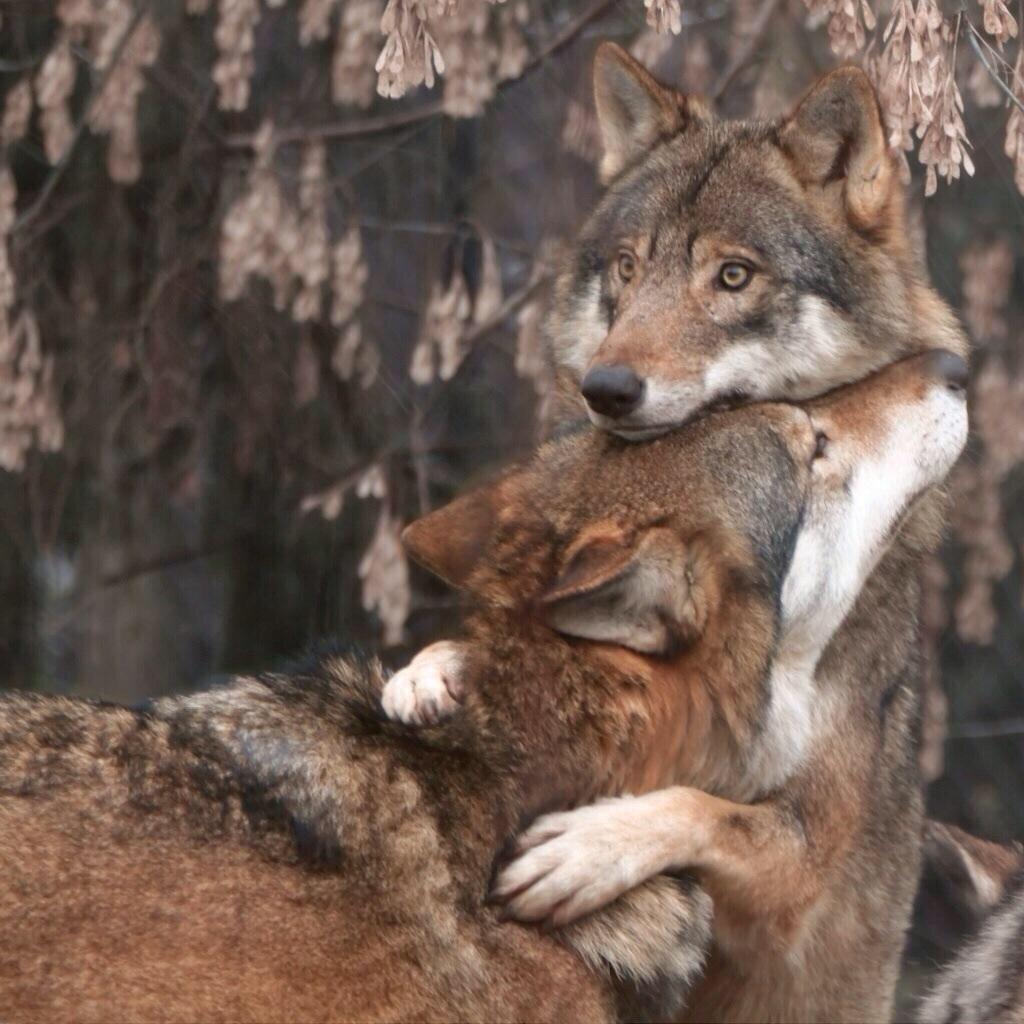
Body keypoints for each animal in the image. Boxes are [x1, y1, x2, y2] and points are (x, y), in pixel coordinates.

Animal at [385, 42, 971, 1022]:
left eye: (733, 276)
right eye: (627, 268)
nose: (606, 388)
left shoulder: (805, 861)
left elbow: (701, 807)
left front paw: (583, 848)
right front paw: (431, 672)